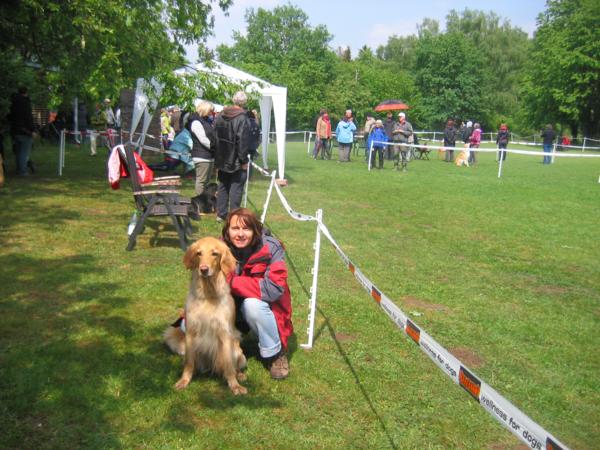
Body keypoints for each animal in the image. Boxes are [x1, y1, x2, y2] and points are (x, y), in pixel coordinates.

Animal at [163, 236, 247, 394]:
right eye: (199, 253)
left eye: (215, 254)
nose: (204, 269)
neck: (208, 294)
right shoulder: (190, 331)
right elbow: (189, 363)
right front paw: (184, 381)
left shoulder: (225, 332)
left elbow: (229, 365)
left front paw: (235, 385)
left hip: (238, 350)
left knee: (234, 366)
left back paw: (239, 375)